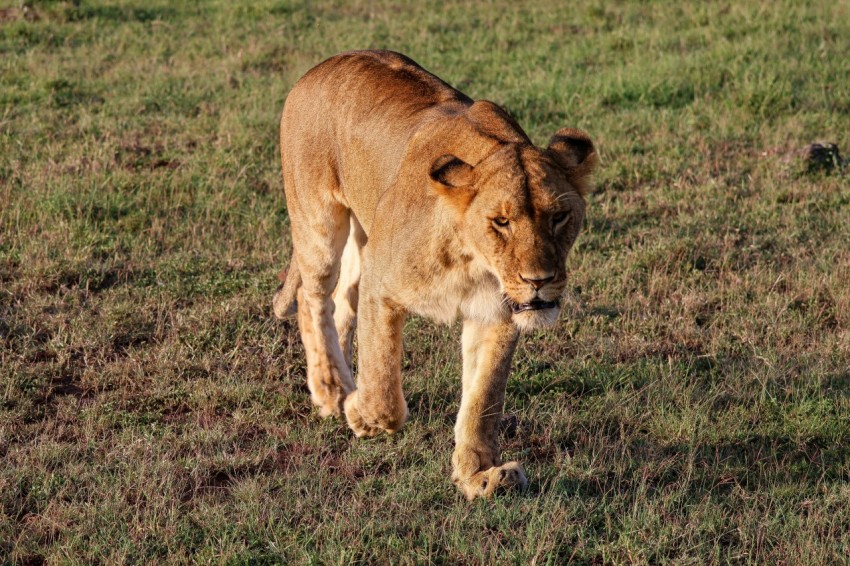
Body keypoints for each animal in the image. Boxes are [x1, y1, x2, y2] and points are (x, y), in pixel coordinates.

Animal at [273, 50, 597, 500]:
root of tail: (322, 65)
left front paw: (479, 475)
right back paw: (332, 391)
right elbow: (385, 388)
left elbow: (482, 401)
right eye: (501, 222)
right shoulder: (382, 286)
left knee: (341, 301)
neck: (474, 261)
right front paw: (360, 414)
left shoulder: (495, 316)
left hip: (363, 237)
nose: (540, 280)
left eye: (560, 216)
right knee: (312, 298)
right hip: (319, 226)